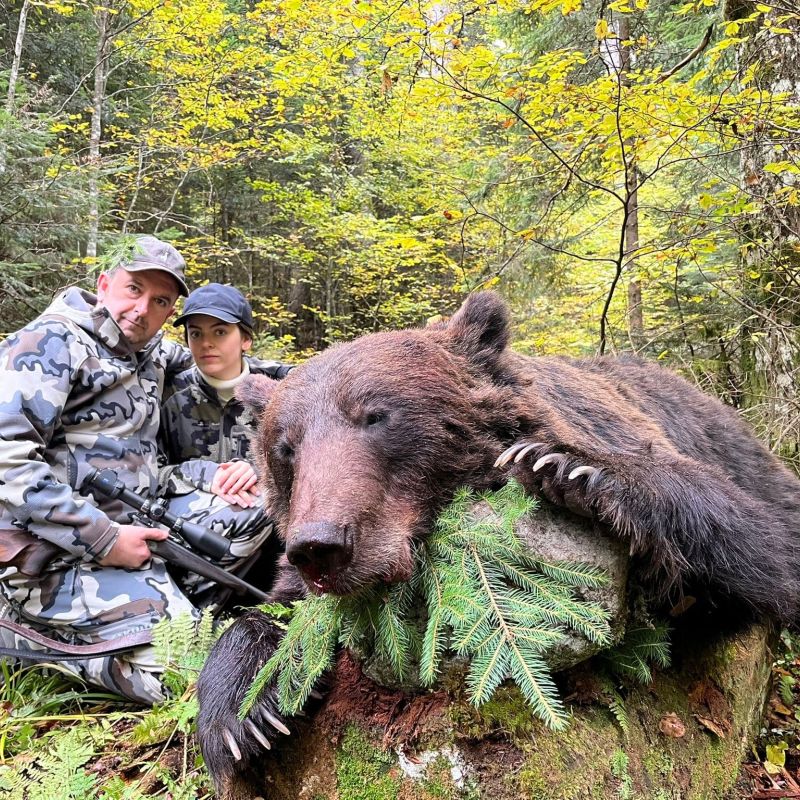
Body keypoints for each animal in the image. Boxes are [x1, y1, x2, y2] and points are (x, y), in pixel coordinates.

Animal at [196, 290, 800, 796]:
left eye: (375, 415)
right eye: (286, 446)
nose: (321, 544)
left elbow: (764, 539)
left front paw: (572, 468)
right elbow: (276, 611)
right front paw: (240, 711)